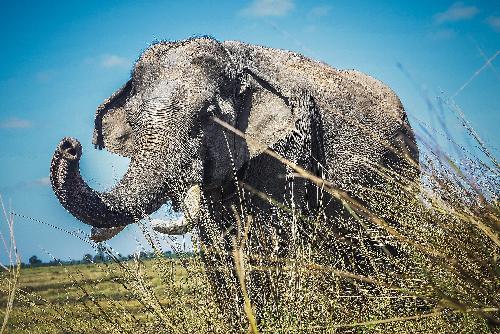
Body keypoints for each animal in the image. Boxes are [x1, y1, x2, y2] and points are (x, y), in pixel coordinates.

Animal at [49, 37, 418, 328]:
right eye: (135, 122)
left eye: (208, 117)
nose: (70, 146)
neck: (237, 64)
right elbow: (216, 243)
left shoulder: (285, 150)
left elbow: (269, 237)